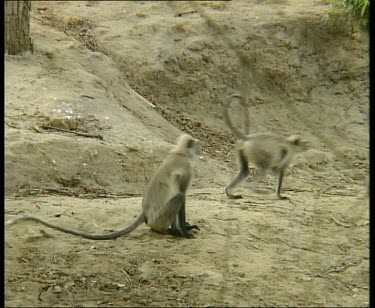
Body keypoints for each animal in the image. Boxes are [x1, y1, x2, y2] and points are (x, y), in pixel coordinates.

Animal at [6, 134, 200, 238]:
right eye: (196, 147)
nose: (199, 151)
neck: (179, 153)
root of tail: (146, 212)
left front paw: (185, 228)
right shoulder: (187, 169)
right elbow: (183, 195)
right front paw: (184, 231)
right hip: (159, 217)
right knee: (178, 198)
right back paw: (168, 231)